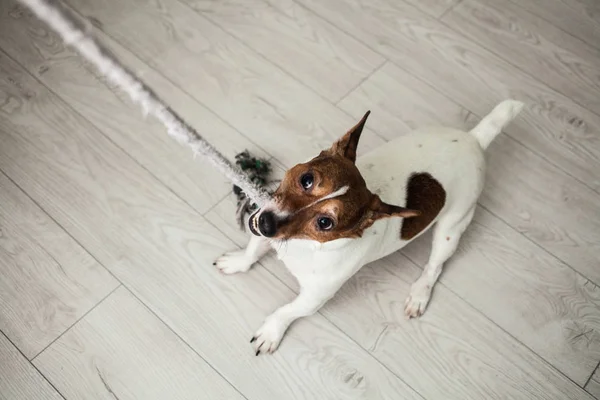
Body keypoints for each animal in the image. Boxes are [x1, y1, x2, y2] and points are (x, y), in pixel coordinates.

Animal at [216, 98, 524, 354]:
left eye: (325, 222)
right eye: (306, 179)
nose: (267, 222)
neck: (306, 245)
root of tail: (475, 139)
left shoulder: (314, 297)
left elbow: (288, 310)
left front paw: (271, 332)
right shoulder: (264, 218)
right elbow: (252, 251)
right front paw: (237, 262)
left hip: (453, 227)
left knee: (435, 265)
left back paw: (419, 293)